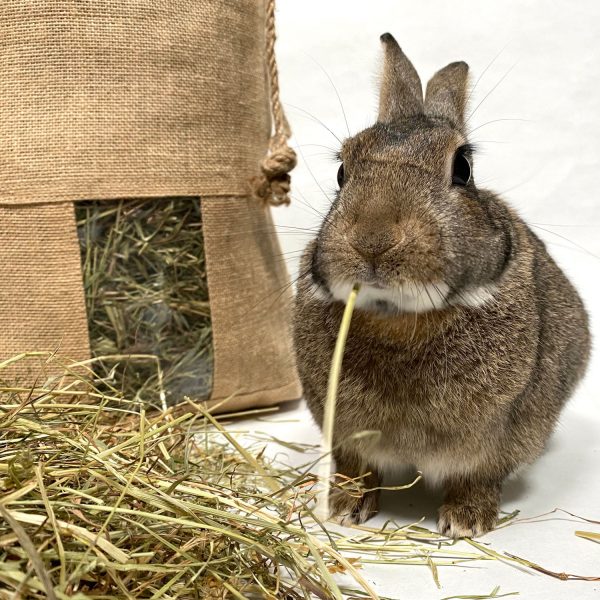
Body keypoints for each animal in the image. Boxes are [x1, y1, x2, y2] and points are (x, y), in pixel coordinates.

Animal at [292, 32, 592, 540]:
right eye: (341, 171)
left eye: (463, 168)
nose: (374, 240)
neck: (398, 320)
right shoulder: (343, 432)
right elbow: (356, 468)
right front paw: (346, 508)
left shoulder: (498, 438)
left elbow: (478, 477)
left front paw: (465, 522)